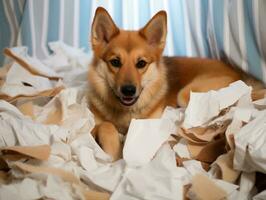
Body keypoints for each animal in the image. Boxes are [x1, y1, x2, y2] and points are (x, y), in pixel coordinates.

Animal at [88, 6, 264, 161]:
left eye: (141, 63)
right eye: (115, 62)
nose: (129, 90)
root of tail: (237, 72)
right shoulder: (92, 126)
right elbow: (106, 126)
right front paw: (112, 151)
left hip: (185, 95)